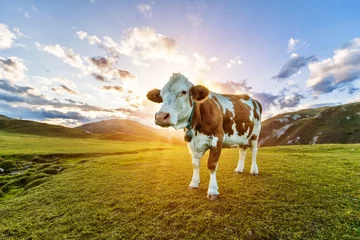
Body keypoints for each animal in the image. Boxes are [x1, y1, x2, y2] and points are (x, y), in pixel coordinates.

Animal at [146, 73, 262, 201]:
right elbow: (195, 164)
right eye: (161, 96)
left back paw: (254, 170)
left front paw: (213, 191)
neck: (196, 127)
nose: (161, 117)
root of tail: (252, 99)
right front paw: (194, 184)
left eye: (184, 92)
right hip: (243, 135)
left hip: (255, 134)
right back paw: (239, 169)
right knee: (242, 150)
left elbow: (212, 164)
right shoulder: (192, 143)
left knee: (254, 151)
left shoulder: (217, 138)